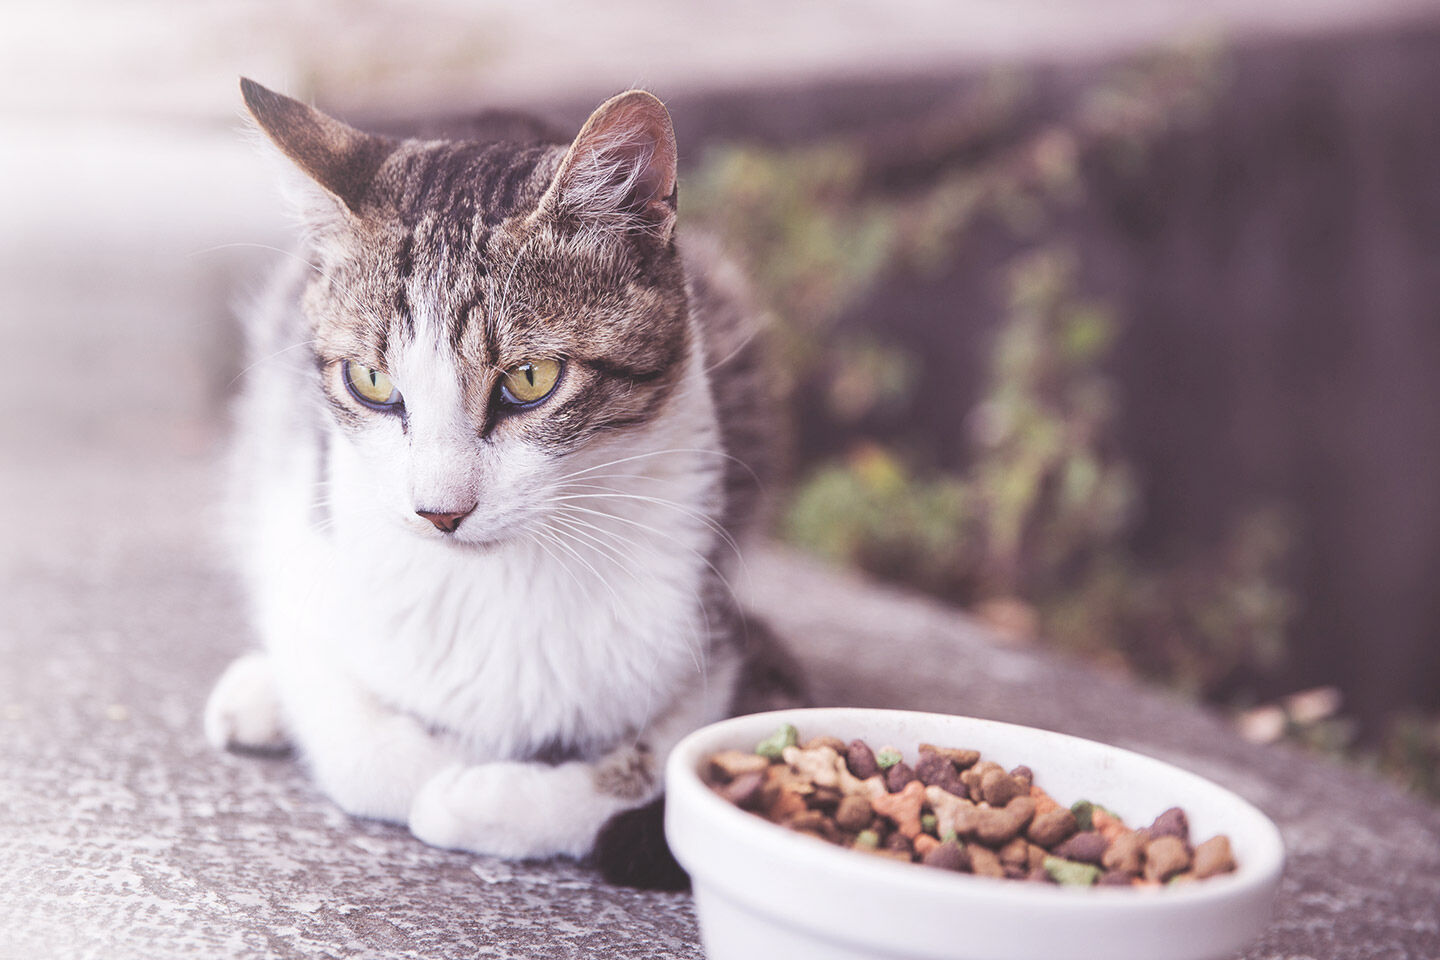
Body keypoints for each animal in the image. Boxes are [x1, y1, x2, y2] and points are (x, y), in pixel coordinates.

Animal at [205, 78, 800, 892]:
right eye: (371, 381)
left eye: (531, 379)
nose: (439, 512)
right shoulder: (300, 526)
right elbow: (356, 734)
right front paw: (446, 766)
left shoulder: (709, 623)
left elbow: (662, 766)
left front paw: (483, 796)